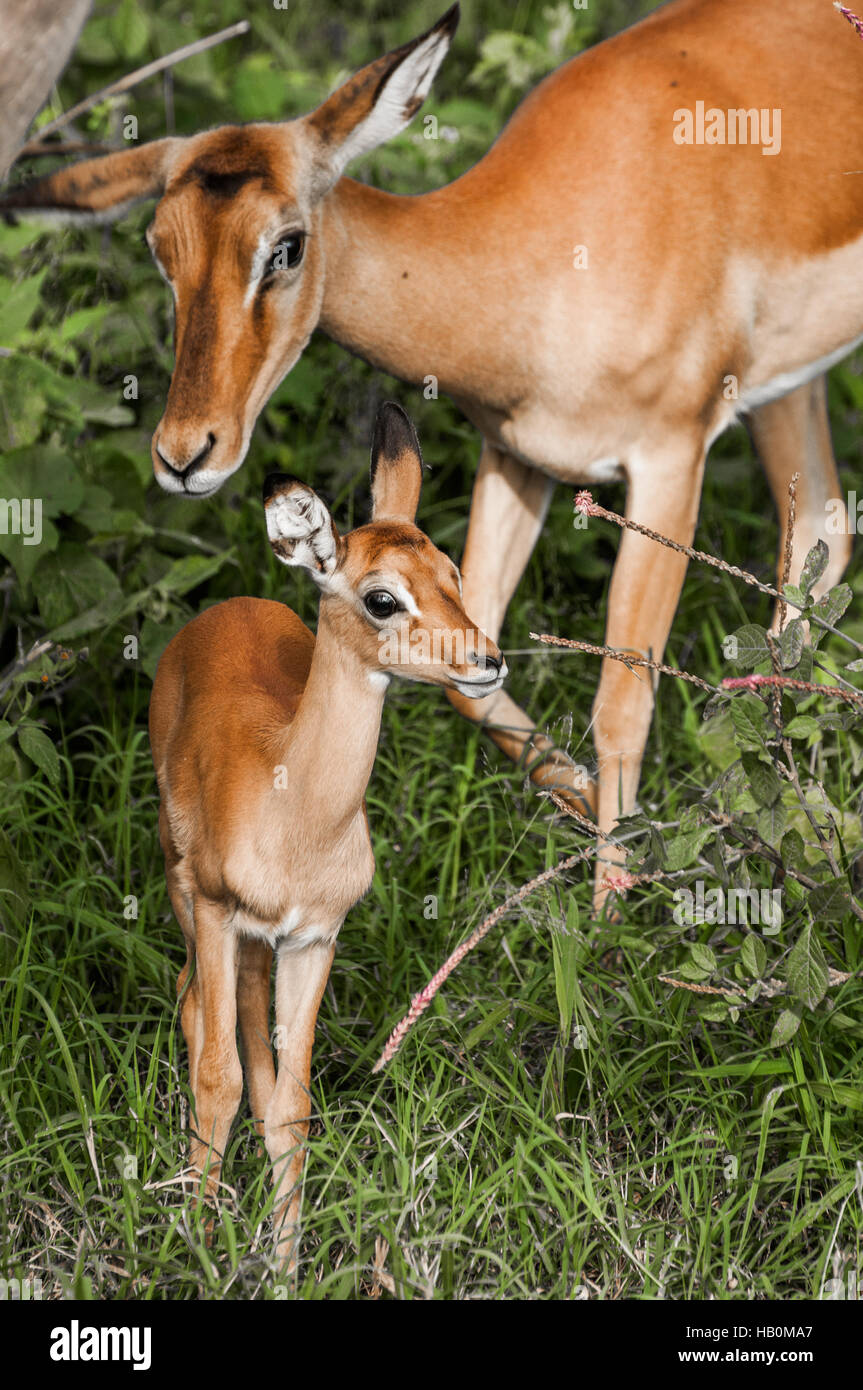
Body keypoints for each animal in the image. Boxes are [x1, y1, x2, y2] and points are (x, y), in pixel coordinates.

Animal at [145, 405, 500, 1273]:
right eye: (381, 598)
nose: (486, 660)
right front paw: (200, 1247)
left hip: (257, 942)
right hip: (180, 889)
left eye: (452, 573)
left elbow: (291, 1104)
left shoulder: (314, 936)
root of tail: (230, 603)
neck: (294, 819)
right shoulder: (215, 910)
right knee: (194, 1005)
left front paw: (282, 1262)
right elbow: (217, 1081)